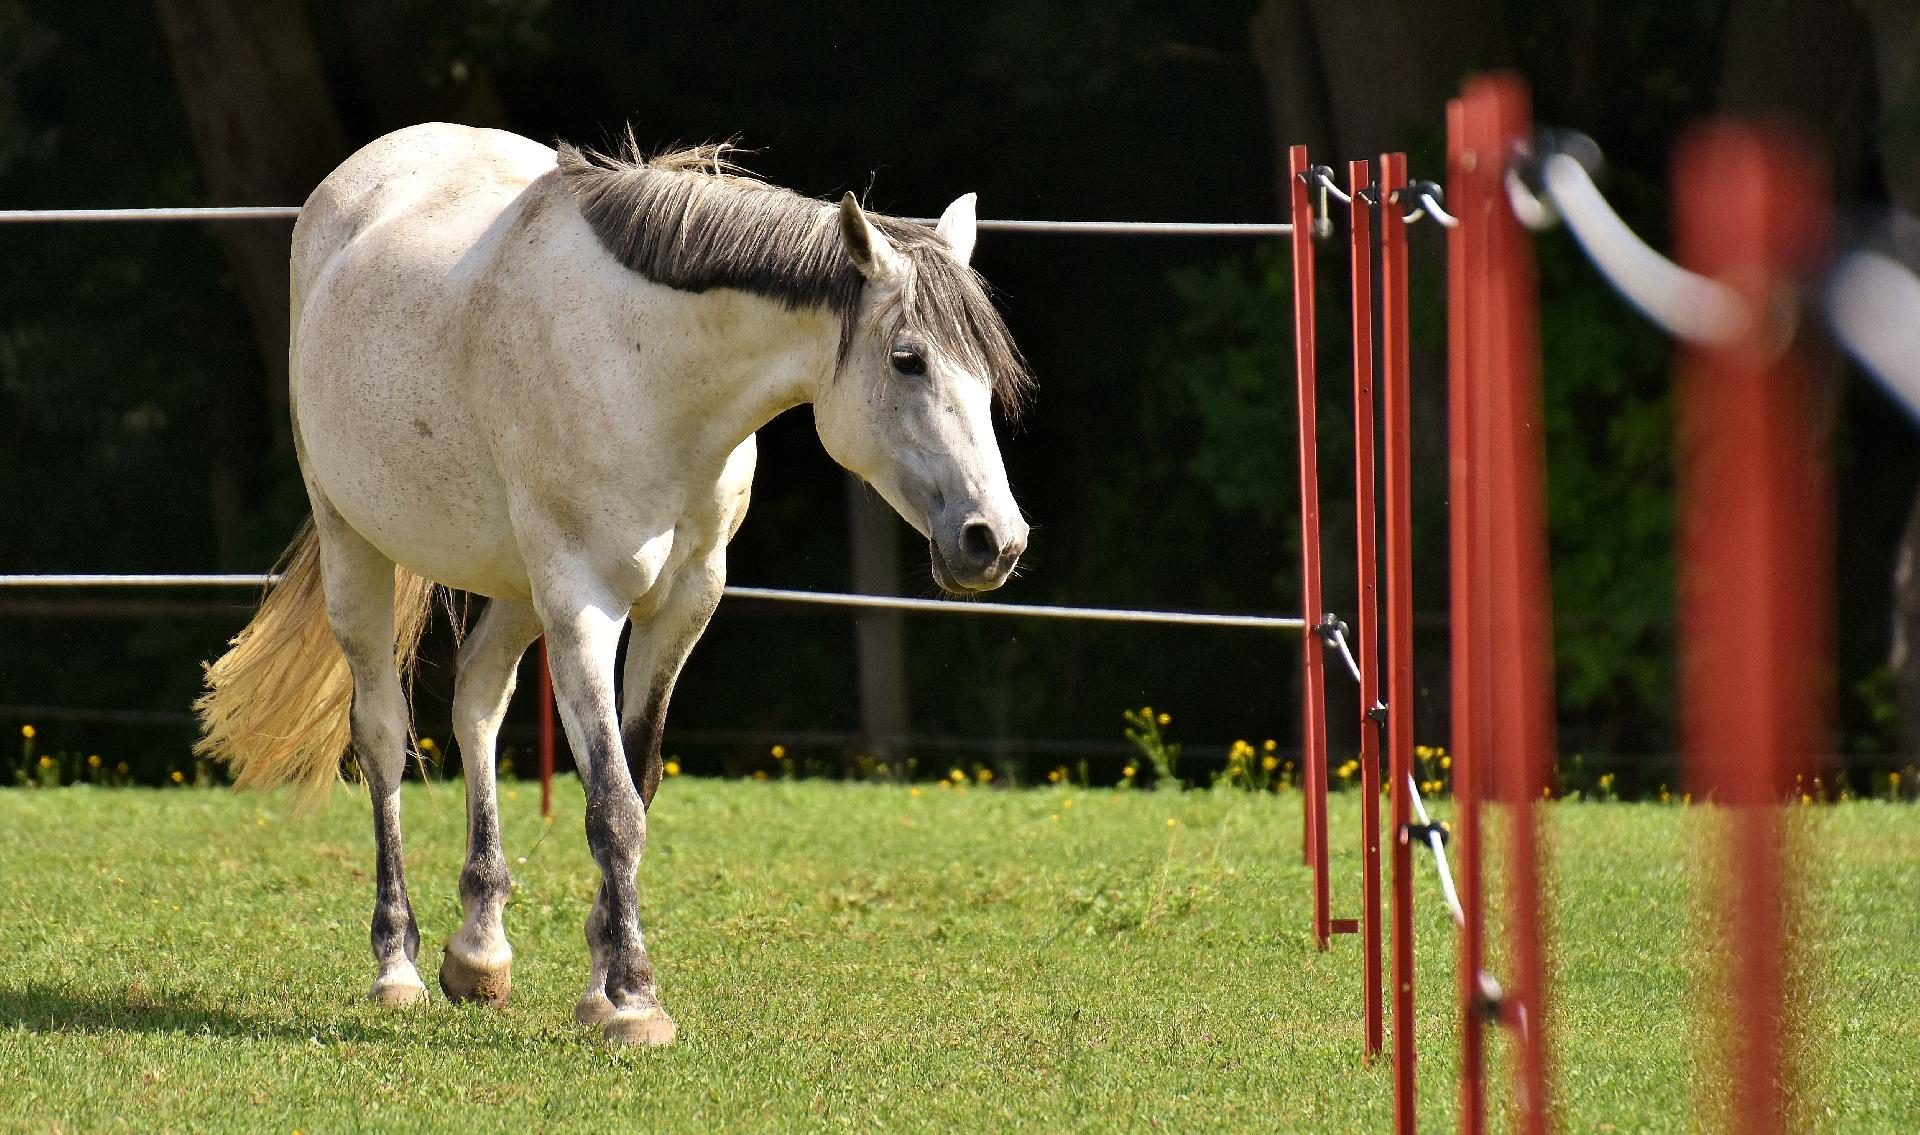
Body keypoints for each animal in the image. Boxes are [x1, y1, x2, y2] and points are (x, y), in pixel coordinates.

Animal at [192, 126, 1029, 1044]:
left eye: (987, 370)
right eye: (908, 360)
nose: (994, 540)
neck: (647, 372)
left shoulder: (685, 604)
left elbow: (639, 777)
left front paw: (598, 985)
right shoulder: (585, 603)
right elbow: (612, 805)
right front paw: (634, 997)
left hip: (516, 587)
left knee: (477, 698)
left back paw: (479, 949)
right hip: (359, 548)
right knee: (381, 733)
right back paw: (398, 965)